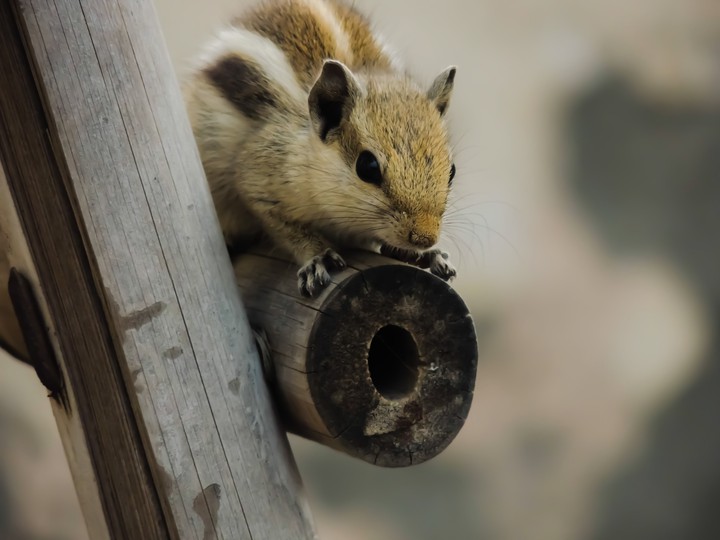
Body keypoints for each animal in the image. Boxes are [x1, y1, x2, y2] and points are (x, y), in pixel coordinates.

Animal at [184, 0, 458, 296]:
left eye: (452, 171)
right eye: (368, 167)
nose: (424, 237)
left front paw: (428, 255)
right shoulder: (258, 175)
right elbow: (288, 228)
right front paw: (319, 257)